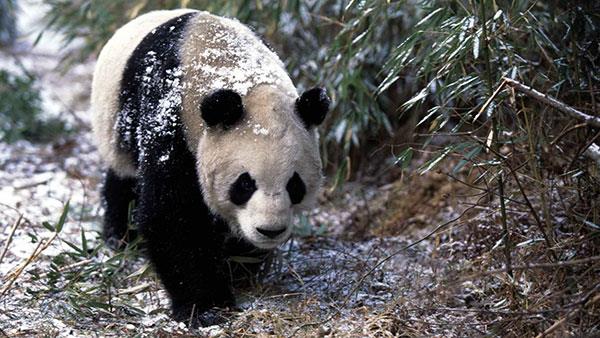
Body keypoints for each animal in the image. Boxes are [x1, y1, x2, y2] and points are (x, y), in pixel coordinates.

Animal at [91, 9, 330, 328]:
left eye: (295, 185)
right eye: (245, 184)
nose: (270, 230)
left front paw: (239, 268)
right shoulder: (170, 119)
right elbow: (173, 216)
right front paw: (207, 306)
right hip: (115, 125)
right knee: (124, 179)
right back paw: (122, 236)